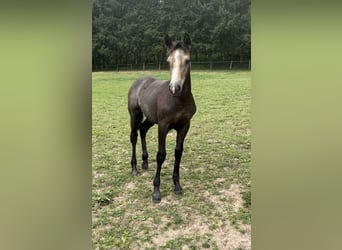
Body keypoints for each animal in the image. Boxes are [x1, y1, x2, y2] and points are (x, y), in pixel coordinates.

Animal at [127, 32, 196, 203]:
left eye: (187, 60)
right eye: (168, 61)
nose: (175, 88)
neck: (178, 100)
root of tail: (138, 81)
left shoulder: (185, 126)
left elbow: (178, 152)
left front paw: (177, 185)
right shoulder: (163, 126)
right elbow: (161, 155)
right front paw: (156, 191)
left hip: (151, 118)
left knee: (143, 130)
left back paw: (145, 162)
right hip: (135, 115)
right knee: (134, 136)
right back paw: (134, 168)